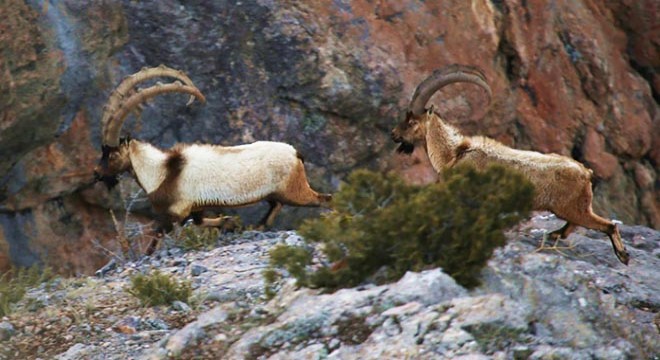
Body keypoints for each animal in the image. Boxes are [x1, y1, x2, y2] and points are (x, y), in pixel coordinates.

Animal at [392, 64, 628, 266]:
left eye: (412, 122)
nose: (394, 134)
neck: (454, 153)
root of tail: (586, 173)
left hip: (572, 208)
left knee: (607, 225)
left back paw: (623, 256)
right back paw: (555, 234)